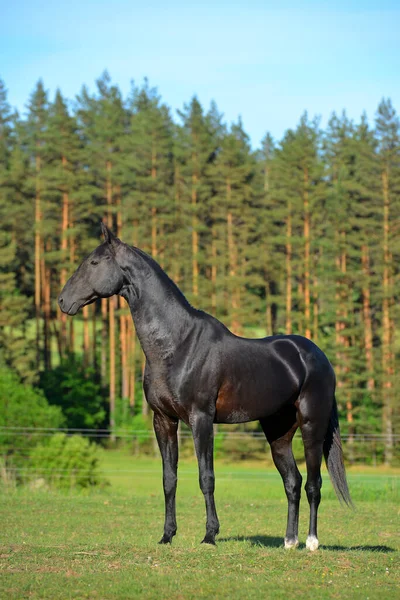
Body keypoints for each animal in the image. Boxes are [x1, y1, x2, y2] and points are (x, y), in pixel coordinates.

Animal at [58, 223, 350, 552]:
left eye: (94, 262)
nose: (63, 301)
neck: (177, 343)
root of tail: (318, 356)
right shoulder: (163, 420)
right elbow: (168, 479)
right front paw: (167, 535)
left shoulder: (201, 419)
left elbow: (205, 477)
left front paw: (210, 535)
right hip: (278, 432)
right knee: (293, 482)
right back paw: (289, 541)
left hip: (312, 425)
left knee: (314, 483)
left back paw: (311, 542)